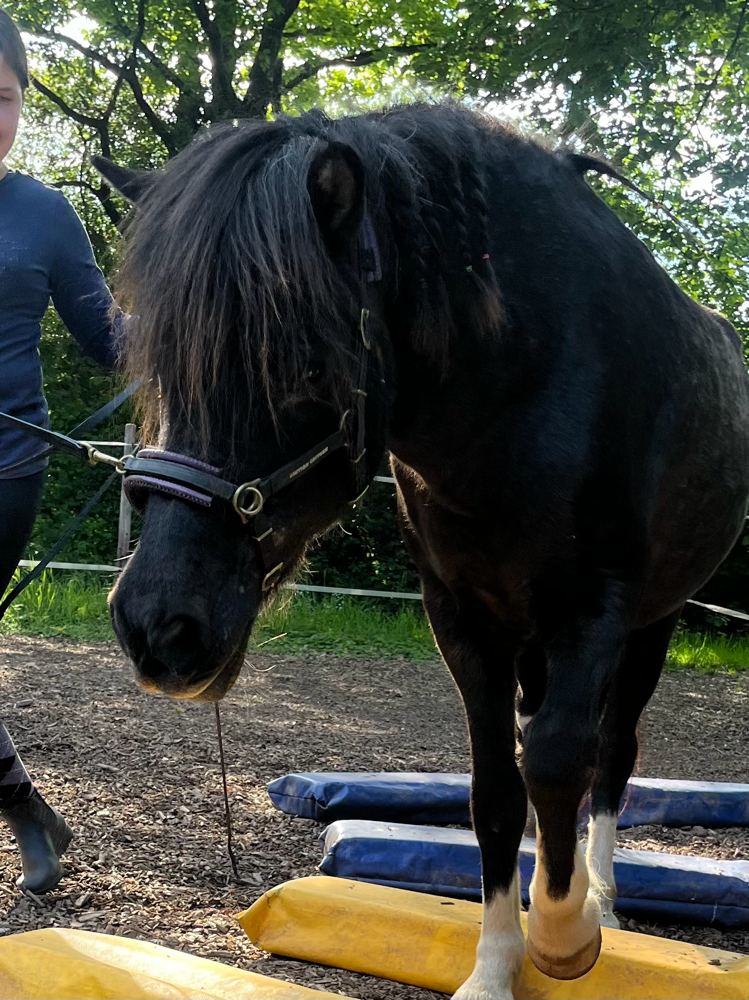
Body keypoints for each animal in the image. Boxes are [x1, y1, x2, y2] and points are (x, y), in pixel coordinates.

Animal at [95, 103, 749, 999]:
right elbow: (495, 789)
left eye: (307, 367)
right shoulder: (462, 615)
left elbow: (556, 762)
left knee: (611, 757)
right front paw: (497, 966)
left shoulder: (595, 607)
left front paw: (564, 936)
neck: (530, 378)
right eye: (156, 359)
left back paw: (606, 903)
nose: (158, 628)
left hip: (655, 623)